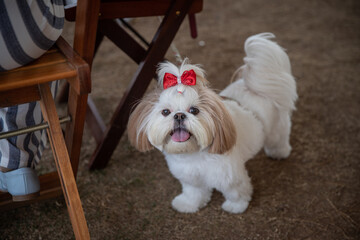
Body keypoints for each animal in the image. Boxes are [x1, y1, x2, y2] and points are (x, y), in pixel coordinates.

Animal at [128, 32, 296, 214]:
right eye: (166, 112)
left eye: (194, 110)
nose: (179, 116)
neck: (193, 154)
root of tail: (254, 87)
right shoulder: (190, 178)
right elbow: (193, 192)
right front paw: (188, 204)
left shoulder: (230, 177)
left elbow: (237, 192)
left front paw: (236, 206)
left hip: (276, 129)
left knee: (279, 139)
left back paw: (279, 153)